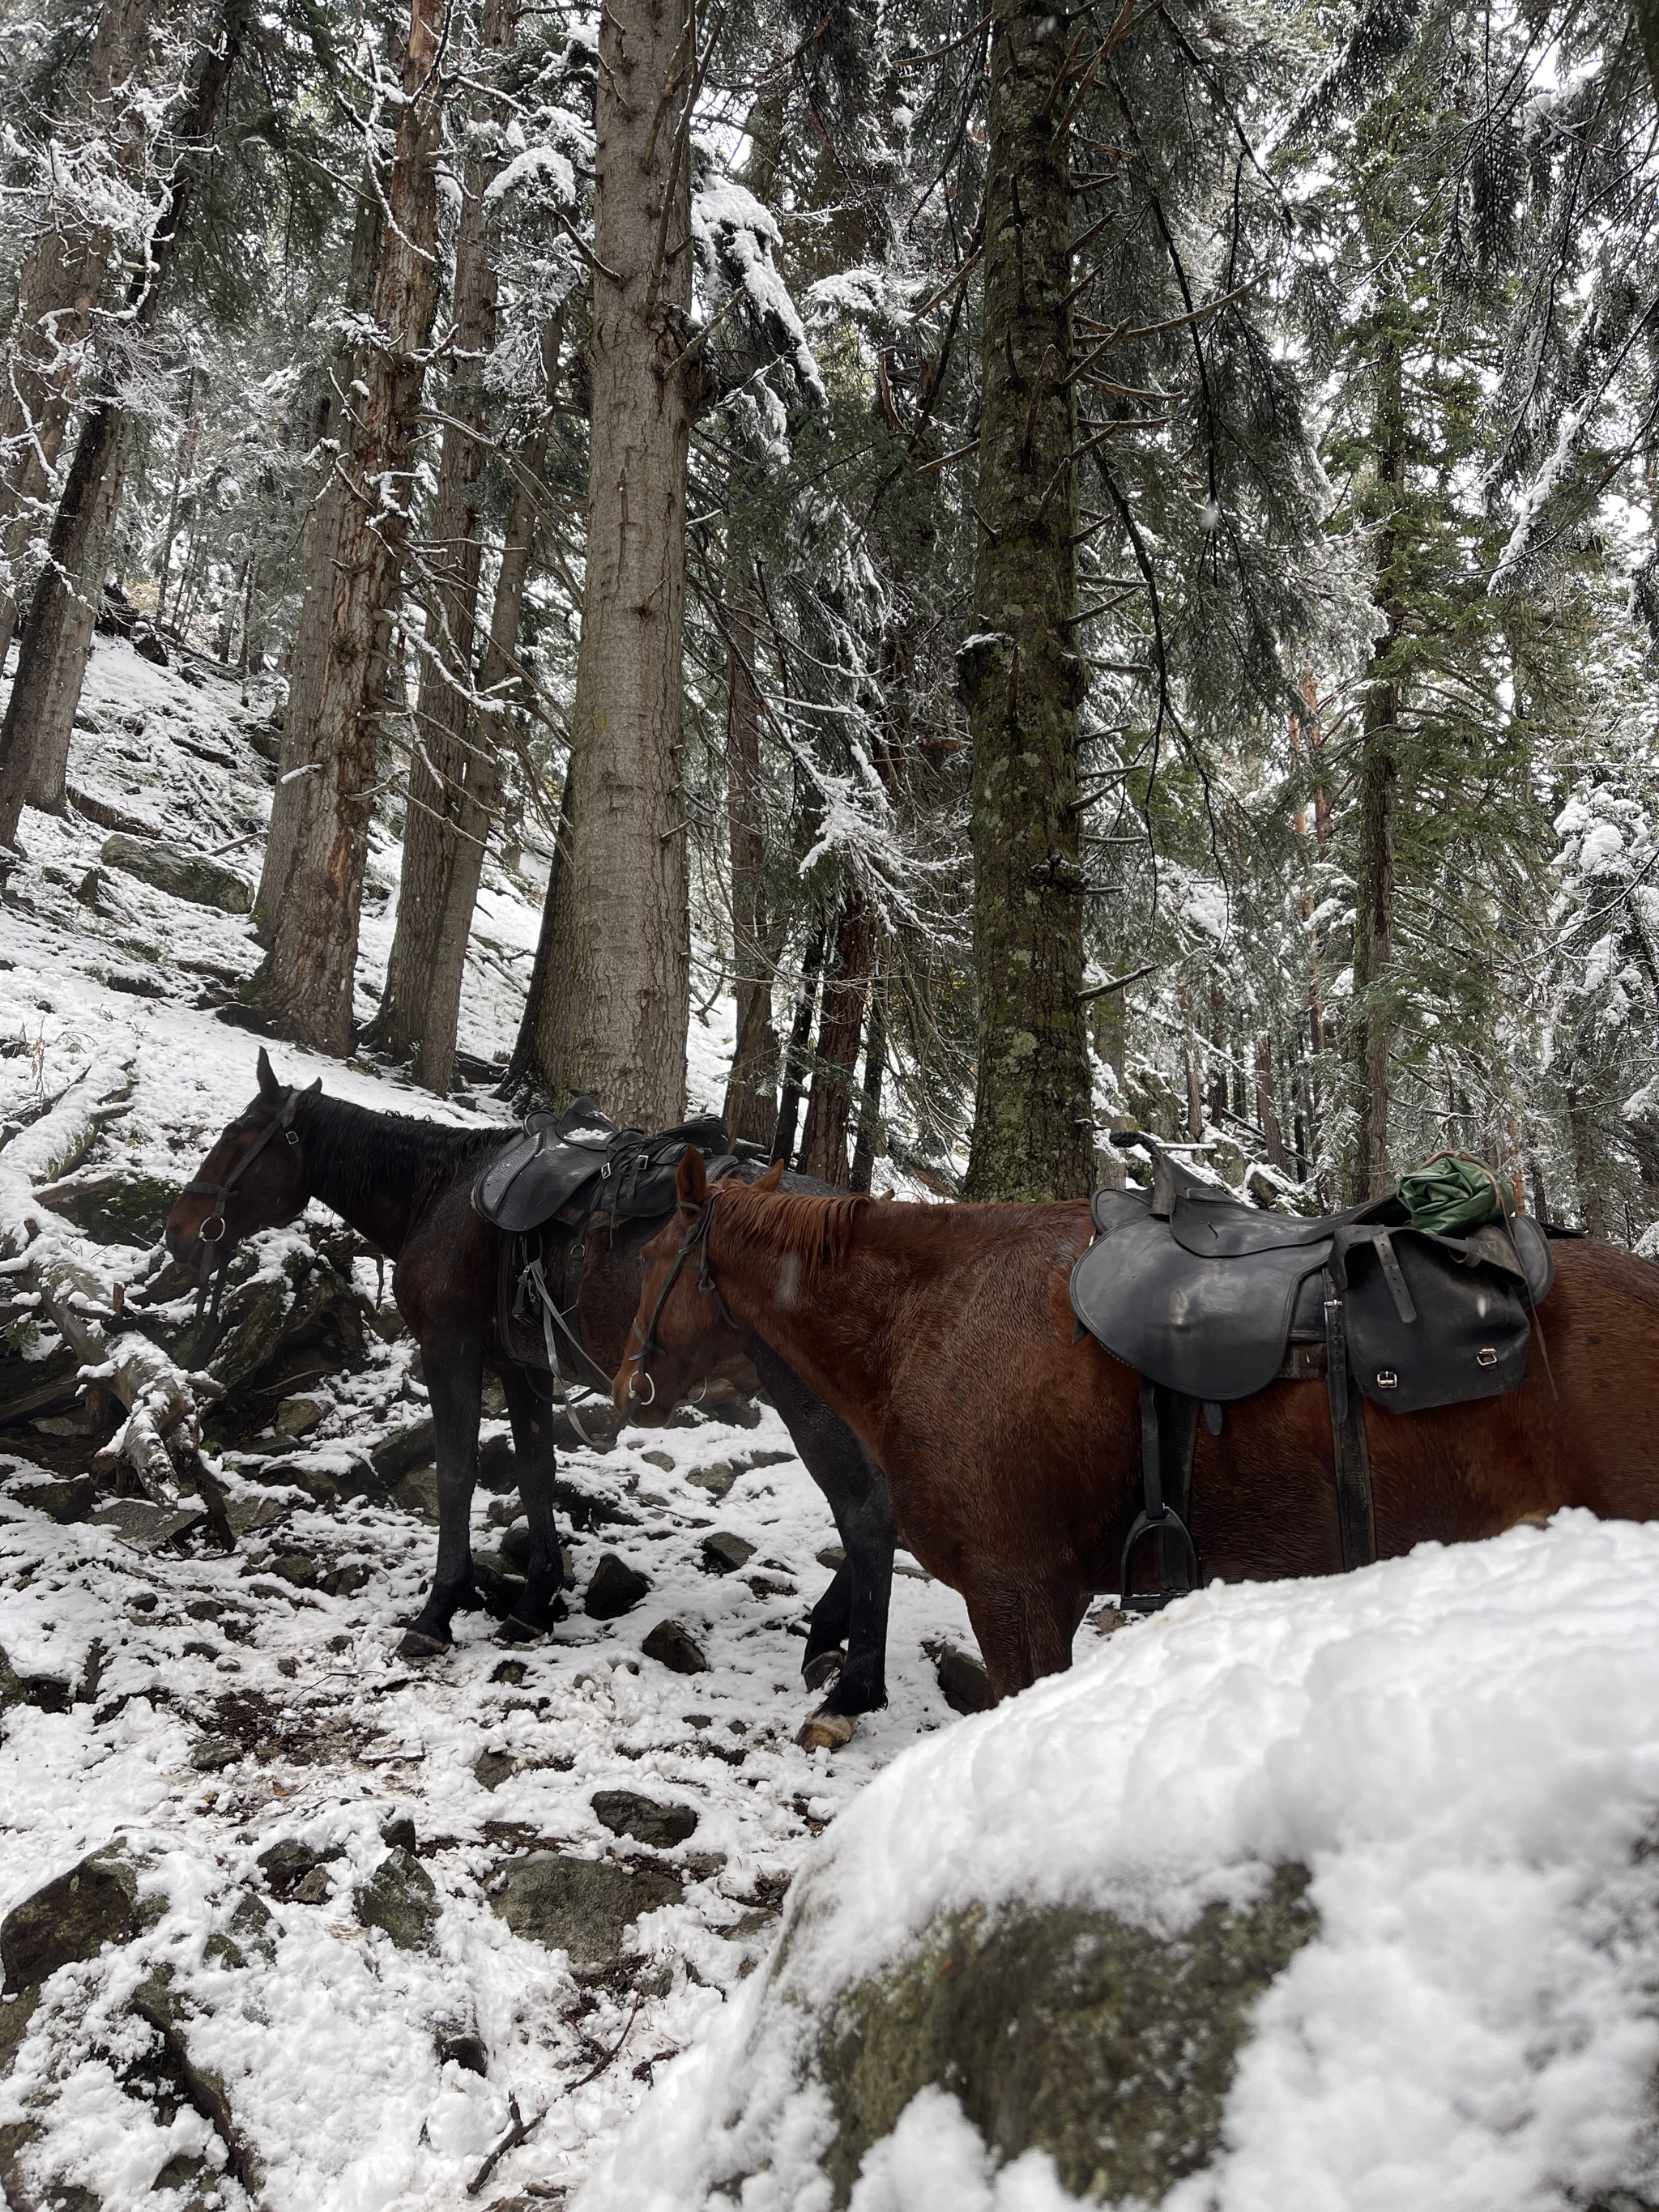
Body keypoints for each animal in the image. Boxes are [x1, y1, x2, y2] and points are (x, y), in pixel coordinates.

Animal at [165, 1052, 898, 1743]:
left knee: (866, 1518)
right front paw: (533, 1603)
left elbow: (457, 1475)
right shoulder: (524, 1368)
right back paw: (826, 1642)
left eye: (235, 1136)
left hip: (807, 1400)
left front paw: (438, 1611)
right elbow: (536, 1472)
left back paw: (850, 1692)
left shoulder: (451, 1351)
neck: (441, 1194)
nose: (178, 1229)